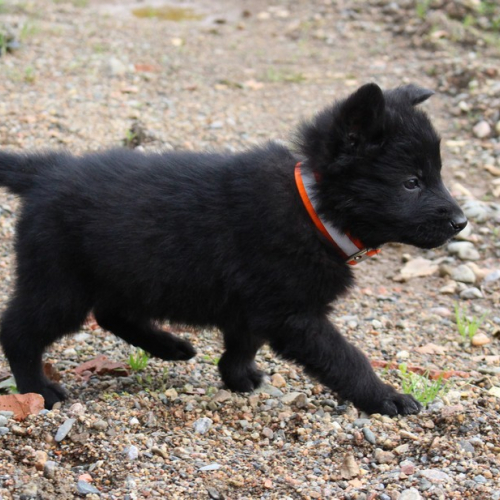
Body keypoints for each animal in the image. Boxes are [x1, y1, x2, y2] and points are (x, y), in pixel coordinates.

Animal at [1, 84, 466, 416]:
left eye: (436, 175)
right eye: (411, 182)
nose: (462, 222)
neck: (313, 208)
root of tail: (47, 171)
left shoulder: (255, 305)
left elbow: (244, 343)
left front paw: (236, 376)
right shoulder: (293, 314)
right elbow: (345, 357)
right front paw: (385, 397)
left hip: (124, 271)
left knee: (112, 312)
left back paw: (171, 346)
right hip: (60, 282)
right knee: (19, 329)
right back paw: (39, 390)